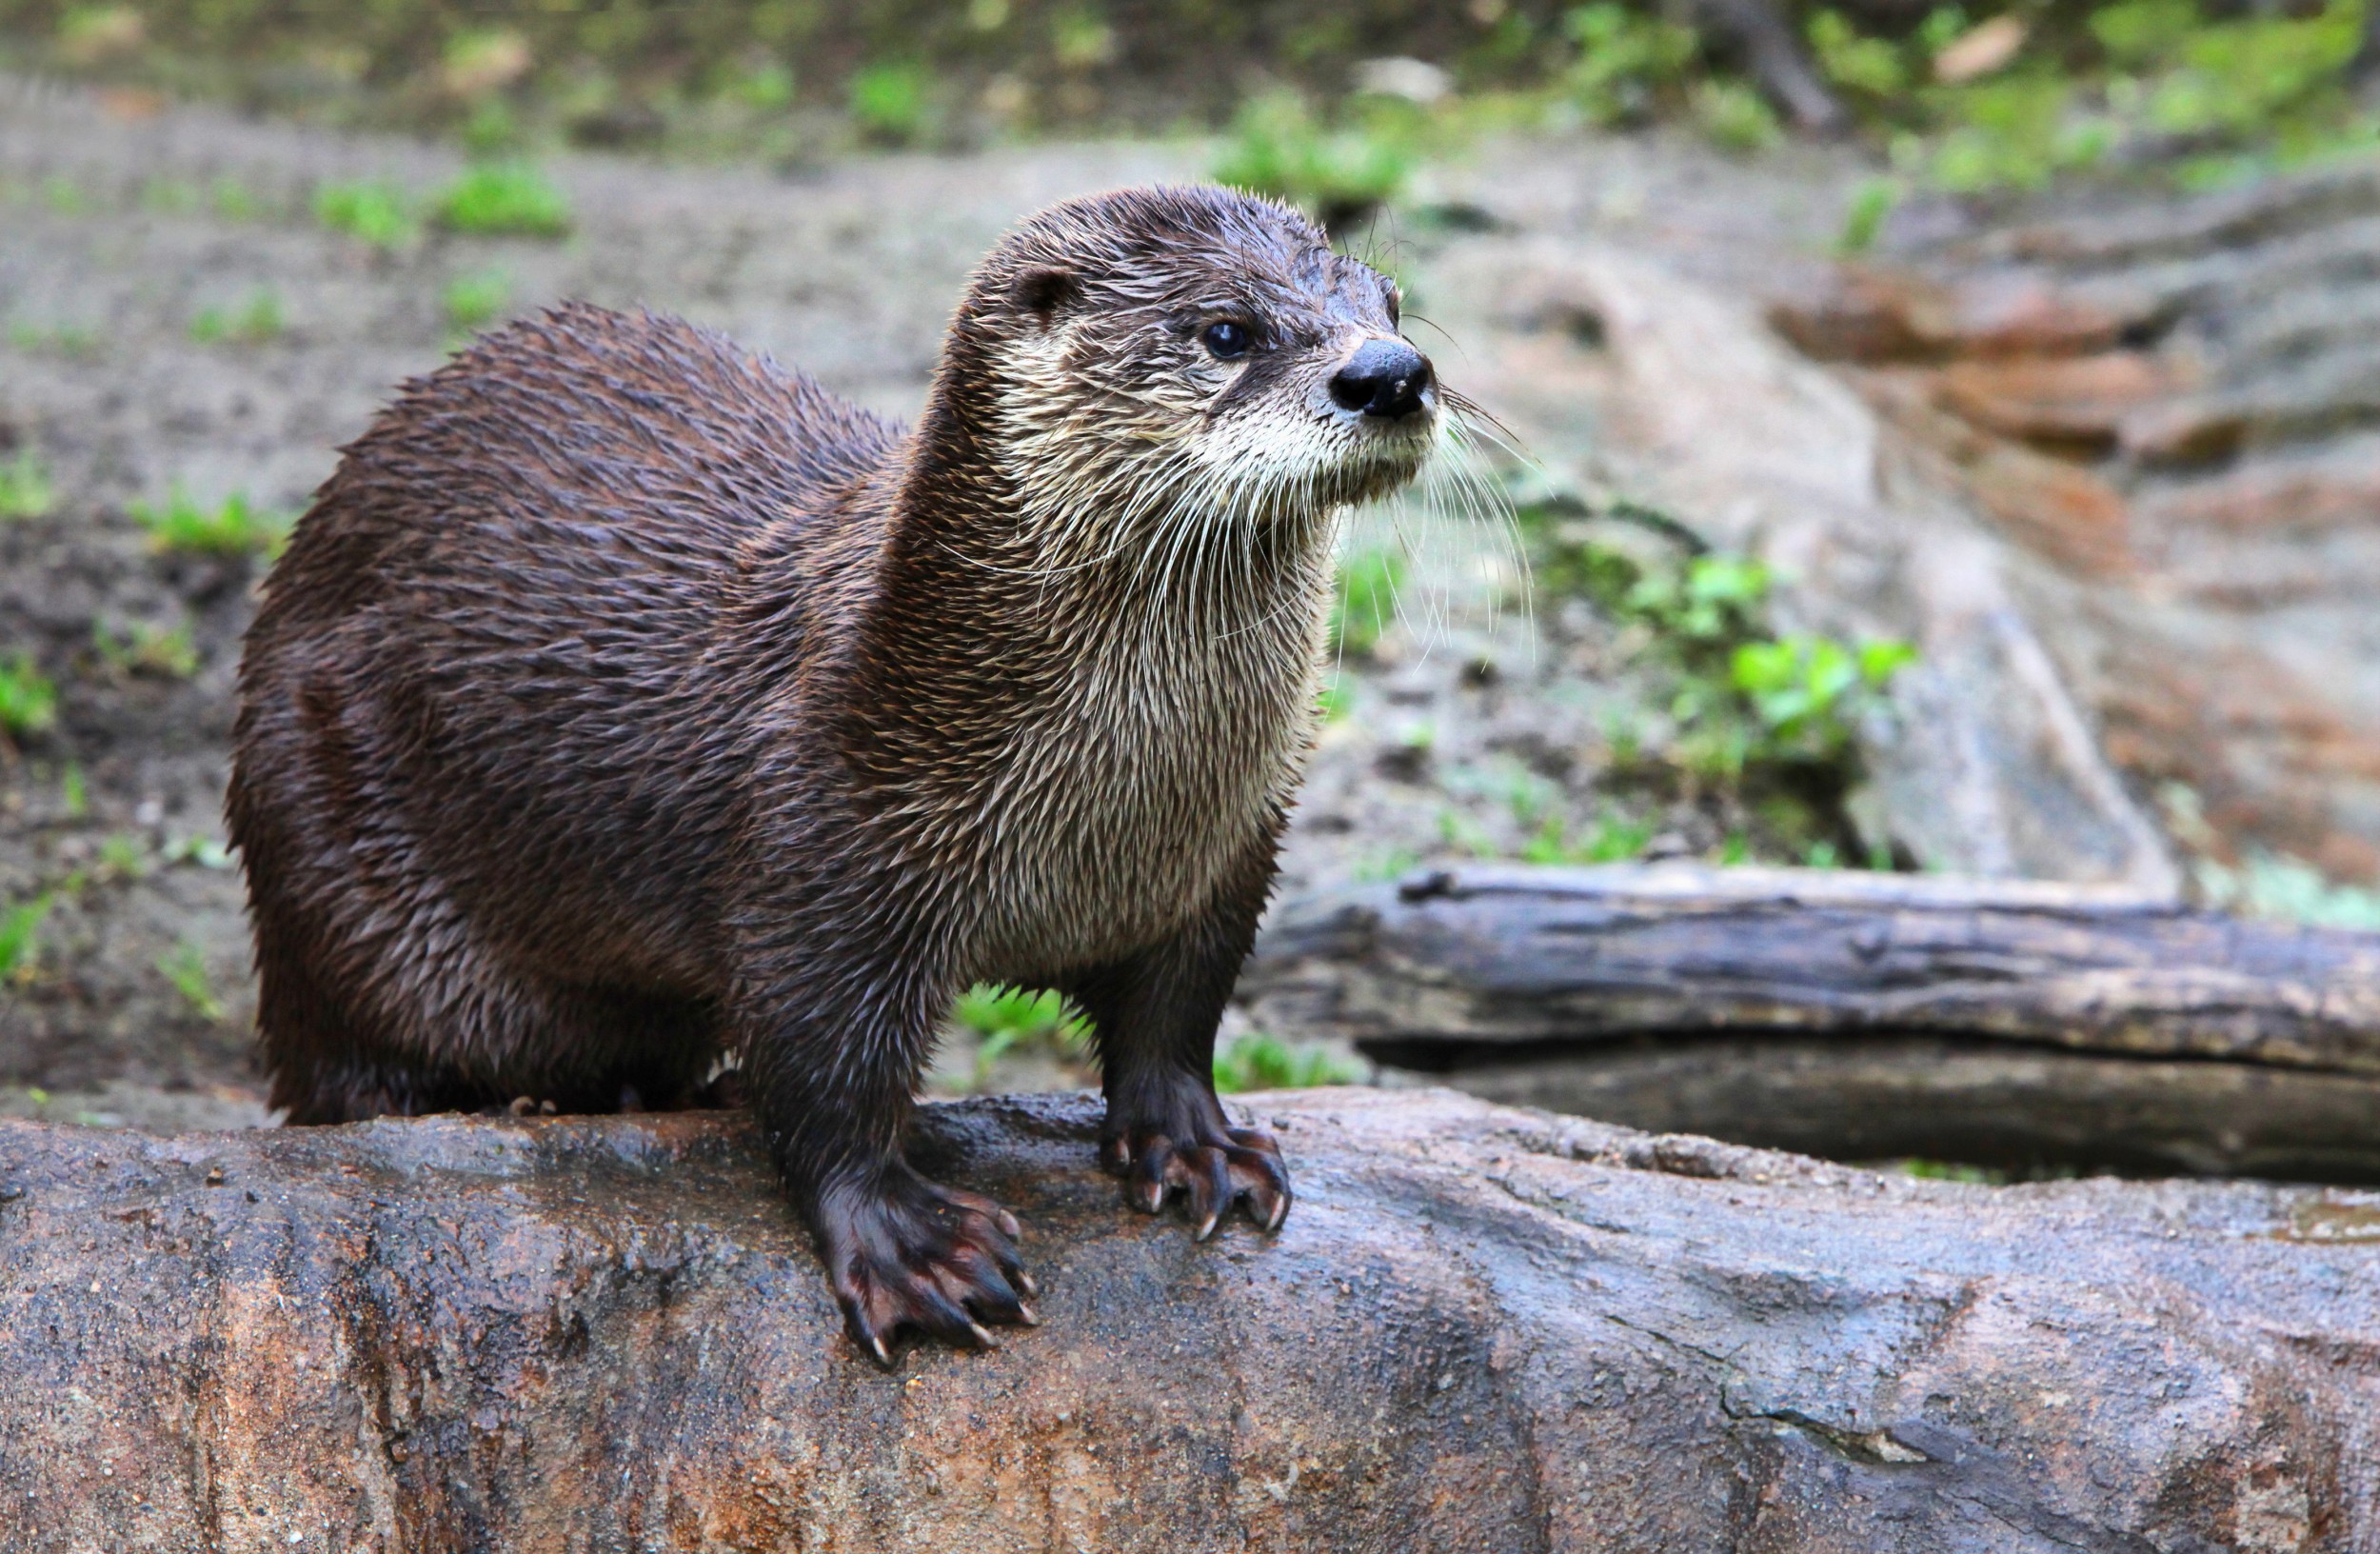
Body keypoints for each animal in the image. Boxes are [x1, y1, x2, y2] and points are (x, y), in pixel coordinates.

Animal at [231, 188, 1438, 1361]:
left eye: (1387, 302)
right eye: (1224, 332)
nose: (1390, 374)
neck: (1111, 815)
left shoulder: (1227, 857)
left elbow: (1175, 1016)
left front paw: (1197, 1145)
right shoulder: (820, 847)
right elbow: (823, 1072)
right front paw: (911, 1244)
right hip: (324, 866)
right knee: (350, 1073)